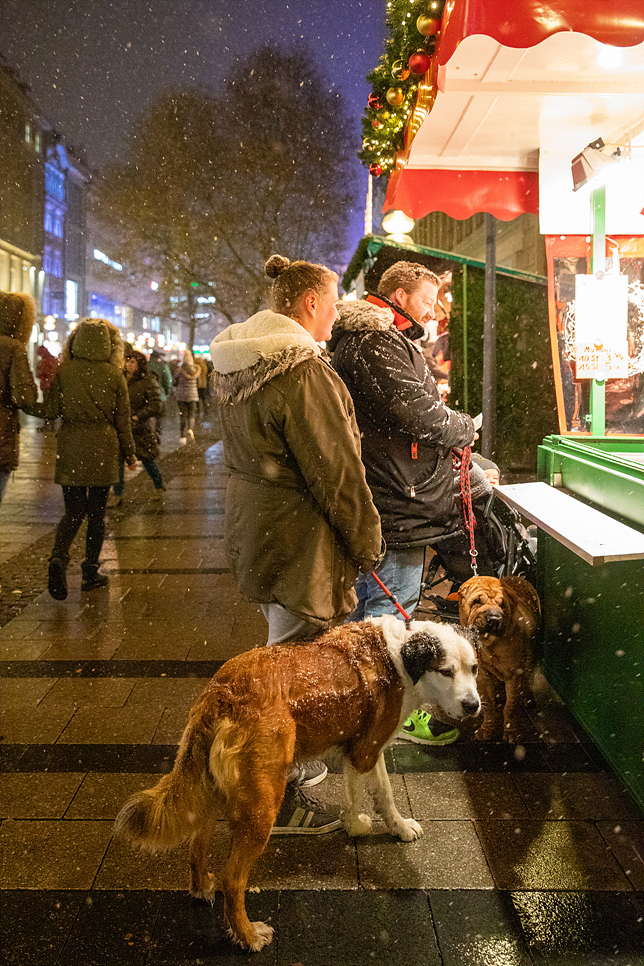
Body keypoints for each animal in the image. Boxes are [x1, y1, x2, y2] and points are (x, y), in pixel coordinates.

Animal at [456, 580, 540, 744]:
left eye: (502, 605)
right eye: (477, 601)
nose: (494, 619)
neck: (489, 644)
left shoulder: (514, 676)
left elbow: (510, 707)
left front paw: (511, 732)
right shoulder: (483, 676)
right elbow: (489, 705)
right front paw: (486, 729)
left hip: (531, 654)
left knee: (528, 676)